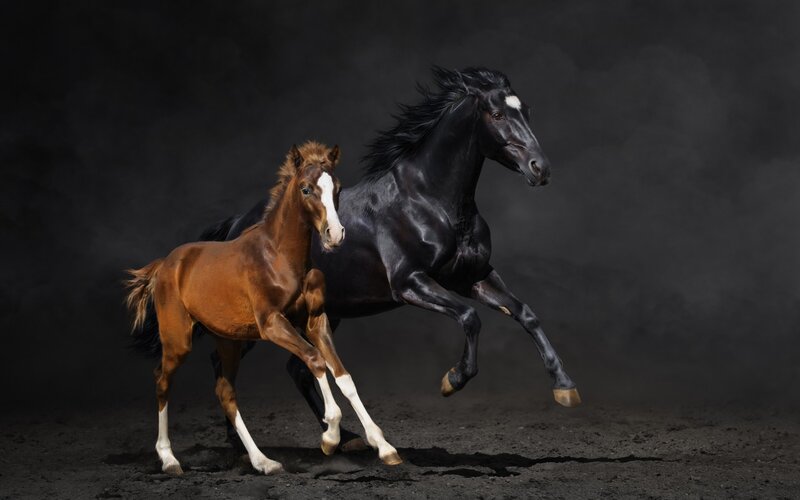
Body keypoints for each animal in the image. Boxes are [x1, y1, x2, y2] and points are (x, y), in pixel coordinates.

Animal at [124, 142, 401, 475]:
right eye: (306, 189)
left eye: (337, 188)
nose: (334, 235)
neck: (280, 257)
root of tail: (165, 263)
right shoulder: (271, 323)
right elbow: (315, 360)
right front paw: (330, 437)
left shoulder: (315, 321)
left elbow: (342, 375)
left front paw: (384, 446)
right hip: (178, 339)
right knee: (162, 380)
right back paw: (168, 459)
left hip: (228, 340)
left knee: (225, 391)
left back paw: (263, 461)